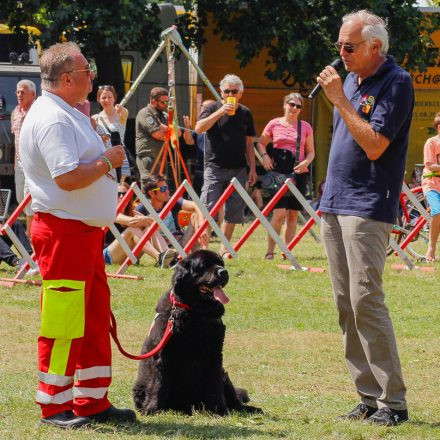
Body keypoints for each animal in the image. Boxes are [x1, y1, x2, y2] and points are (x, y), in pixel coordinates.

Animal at [132, 249, 260, 414]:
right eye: (204, 265)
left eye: (221, 263)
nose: (223, 272)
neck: (196, 313)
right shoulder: (163, 354)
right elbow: (158, 383)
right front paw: (152, 408)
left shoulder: (214, 353)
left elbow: (213, 383)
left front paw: (218, 409)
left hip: (224, 376)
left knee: (234, 399)